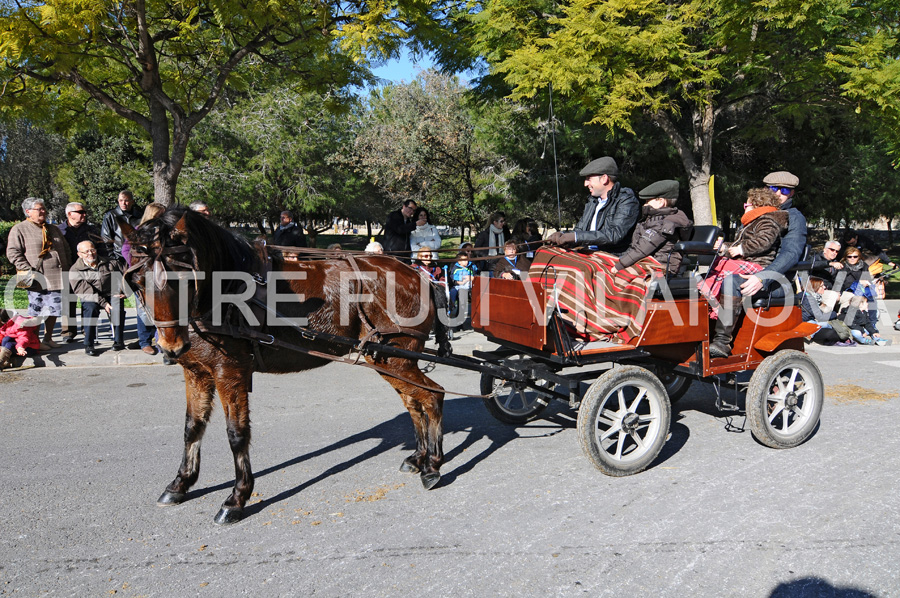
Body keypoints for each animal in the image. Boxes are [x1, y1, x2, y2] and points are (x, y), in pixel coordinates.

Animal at [125, 210, 448, 524]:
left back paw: (432, 465)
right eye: (138, 281)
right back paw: (418, 457)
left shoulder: (230, 371)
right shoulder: (196, 372)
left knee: (433, 396)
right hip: (387, 360)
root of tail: (419, 276)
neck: (226, 290)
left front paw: (237, 497)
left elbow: (236, 434)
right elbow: (192, 427)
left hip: (397, 360)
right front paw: (180, 483)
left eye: (184, 278)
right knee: (414, 403)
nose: (171, 346)